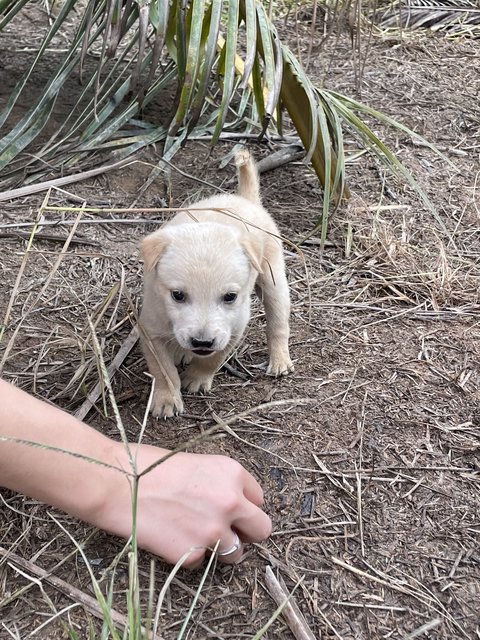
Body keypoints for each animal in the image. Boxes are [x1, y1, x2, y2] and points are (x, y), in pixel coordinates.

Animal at [140, 151, 292, 420]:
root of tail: (246, 200)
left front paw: (197, 378)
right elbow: (163, 370)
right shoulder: (151, 329)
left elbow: (213, 359)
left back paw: (280, 360)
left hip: (274, 280)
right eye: (177, 295)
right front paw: (167, 399)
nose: (202, 342)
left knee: (278, 323)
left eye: (230, 296)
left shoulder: (233, 330)